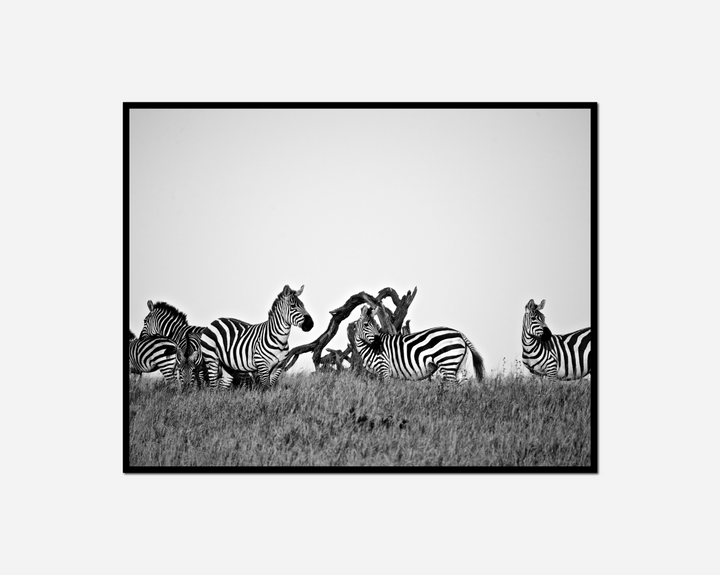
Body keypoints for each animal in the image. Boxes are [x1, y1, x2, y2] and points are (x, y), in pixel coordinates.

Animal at [353, 306, 485, 388]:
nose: (378, 342)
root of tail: (459, 333)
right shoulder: (378, 373)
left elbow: (385, 390)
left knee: (451, 386)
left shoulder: (384, 367)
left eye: (375, 325)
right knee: (463, 386)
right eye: (366, 324)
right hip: (459, 366)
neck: (368, 347)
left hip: (448, 363)